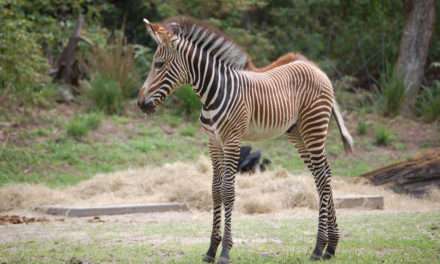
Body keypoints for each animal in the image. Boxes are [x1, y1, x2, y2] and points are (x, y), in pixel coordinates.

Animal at [138, 17, 354, 264]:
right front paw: (211, 249)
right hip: (298, 133)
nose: (141, 104)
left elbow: (228, 192)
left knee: (323, 177)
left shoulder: (232, 140)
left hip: (314, 128)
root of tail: (317, 69)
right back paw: (331, 246)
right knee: (323, 176)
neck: (213, 92)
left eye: (159, 64)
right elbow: (215, 191)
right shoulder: (214, 142)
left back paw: (318, 248)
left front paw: (225, 251)